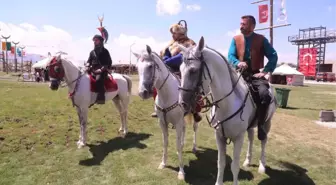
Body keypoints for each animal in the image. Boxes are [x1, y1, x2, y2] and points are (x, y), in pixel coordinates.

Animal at [131, 45, 201, 180]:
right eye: (137, 67)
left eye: (150, 66)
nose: (142, 92)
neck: (166, 95)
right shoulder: (163, 123)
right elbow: (165, 142)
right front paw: (163, 163)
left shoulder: (177, 122)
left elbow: (177, 145)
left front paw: (181, 171)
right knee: (184, 130)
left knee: (195, 128)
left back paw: (194, 147)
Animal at [177, 37, 276, 185]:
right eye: (180, 69)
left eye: (193, 70)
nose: (182, 103)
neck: (226, 104)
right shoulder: (219, 137)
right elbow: (221, 163)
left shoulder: (238, 138)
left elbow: (234, 166)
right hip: (251, 126)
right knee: (251, 138)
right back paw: (248, 160)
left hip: (266, 123)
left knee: (263, 140)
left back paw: (262, 166)